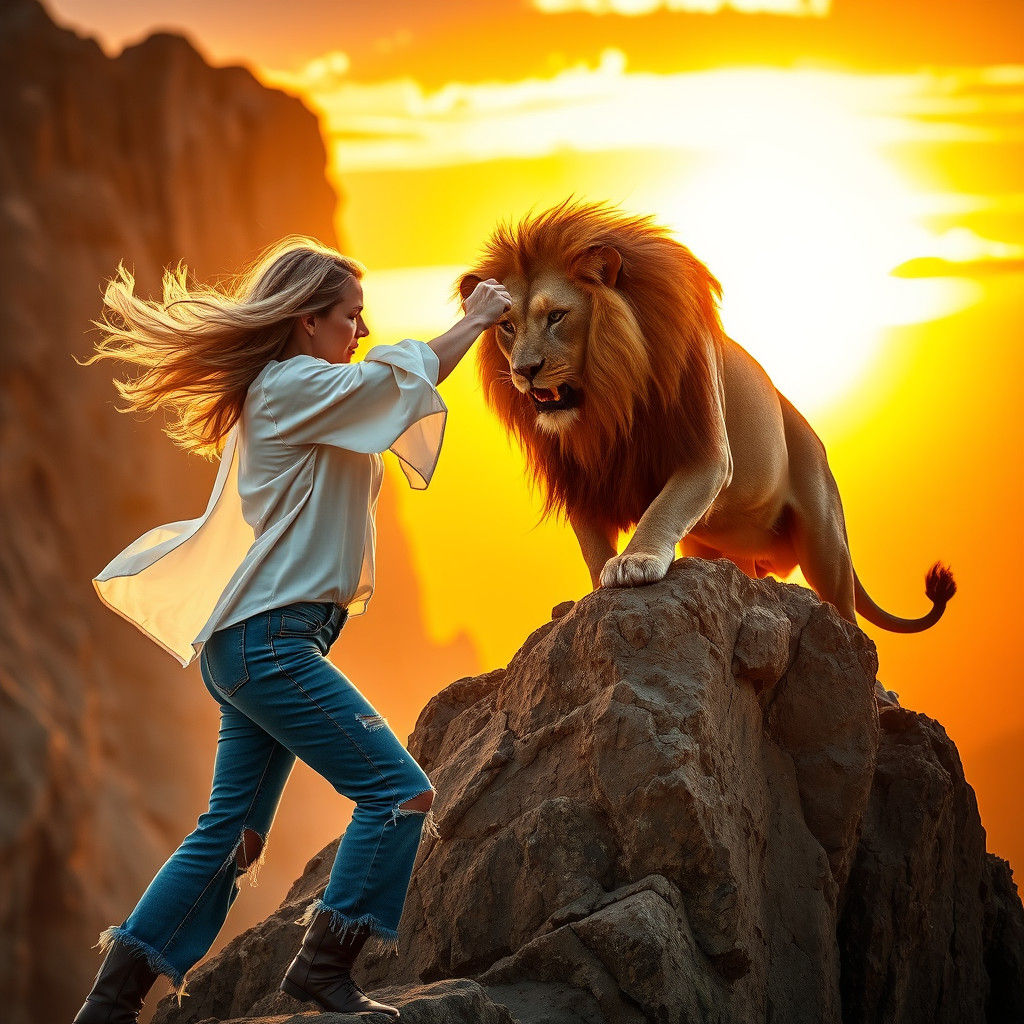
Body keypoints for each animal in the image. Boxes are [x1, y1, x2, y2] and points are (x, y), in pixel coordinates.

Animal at [458, 198, 956, 697]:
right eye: (506, 326)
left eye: (557, 316)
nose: (524, 370)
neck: (607, 402)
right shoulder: (580, 479)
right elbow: (593, 545)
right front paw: (600, 587)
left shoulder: (708, 455)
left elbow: (663, 508)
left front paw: (635, 561)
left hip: (825, 541)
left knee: (849, 619)